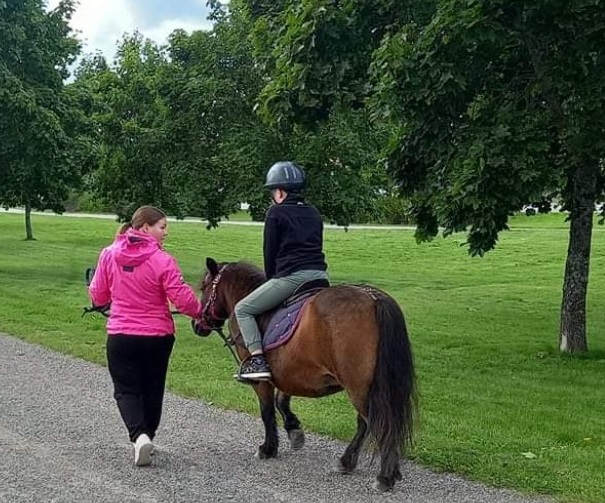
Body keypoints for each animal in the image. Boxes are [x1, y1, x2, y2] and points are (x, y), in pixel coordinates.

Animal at [193, 258, 416, 490]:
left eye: (204, 286)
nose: (196, 324)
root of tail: (373, 297)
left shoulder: (263, 382)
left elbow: (267, 411)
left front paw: (268, 448)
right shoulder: (290, 373)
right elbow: (281, 402)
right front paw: (294, 430)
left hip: (359, 388)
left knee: (378, 422)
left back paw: (384, 476)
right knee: (366, 423)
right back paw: (348, 461)